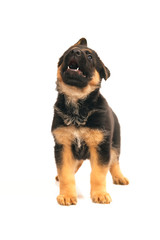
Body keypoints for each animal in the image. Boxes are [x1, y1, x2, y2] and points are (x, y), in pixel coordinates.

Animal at [51, 38, 129, 205]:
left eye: (90, 56)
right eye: (68, 52)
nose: (75, 52)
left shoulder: (101, 147)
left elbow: (98, 174)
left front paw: (100, 194)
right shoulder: (63, 145)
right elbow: (66, 173)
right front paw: (67, 195)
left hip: (115, 144)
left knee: (114, 162)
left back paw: (119, 177)